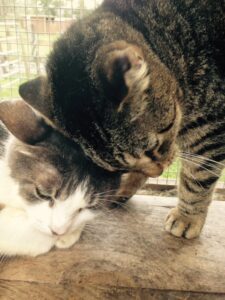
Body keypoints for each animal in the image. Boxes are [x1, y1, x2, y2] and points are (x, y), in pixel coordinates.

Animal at [18, 0, 225, 239]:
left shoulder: (209, 129)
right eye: (118, 168)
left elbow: (197, 176)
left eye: (156, 146)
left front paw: (187, 216)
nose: (159, 172)